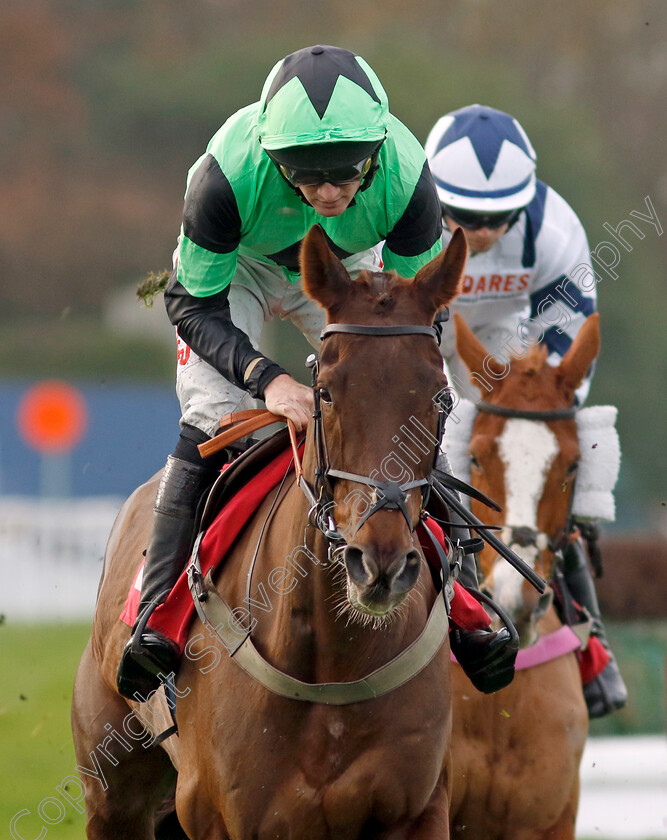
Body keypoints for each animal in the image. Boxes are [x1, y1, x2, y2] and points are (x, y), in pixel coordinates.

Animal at [72, 225, 470, 840]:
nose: (378, 562)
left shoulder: (418, 809)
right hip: (113, 793)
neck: (333, 660)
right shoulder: (217, 815)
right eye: (324, 391)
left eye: (440, 396)